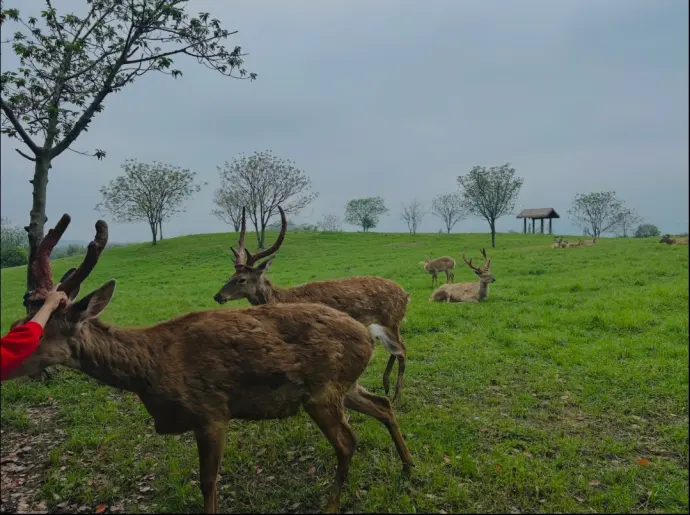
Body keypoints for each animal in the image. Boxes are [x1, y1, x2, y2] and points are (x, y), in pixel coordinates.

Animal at [213, 207, 411, 402]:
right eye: (230, 275)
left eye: (242, 279)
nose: (218, 296)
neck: (280, 298)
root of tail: (406, 295)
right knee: (396, 349)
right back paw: (386, 385)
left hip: (391, 320)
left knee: (402, 349)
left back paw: (397, 395)